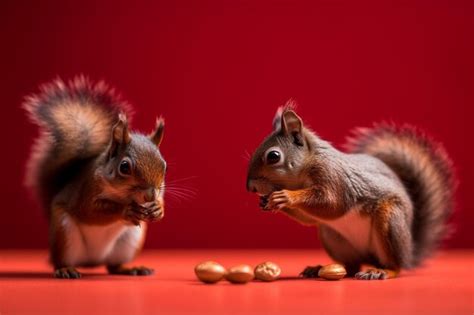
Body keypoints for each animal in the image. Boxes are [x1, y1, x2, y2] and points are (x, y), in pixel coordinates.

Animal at [23, 77, 167, 278]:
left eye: (164, 165)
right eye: (124, 167)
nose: (150, 196)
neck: (124, 195)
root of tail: (91, 262)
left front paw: (158, 209)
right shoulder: (86, 190)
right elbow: (91, 212)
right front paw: (126, 210)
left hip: (129, 242)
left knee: (113, 266)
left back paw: (131, 268)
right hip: (63, 232)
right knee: (61, 261)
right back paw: (65, 269)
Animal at [246, 103, 454, 282]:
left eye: (273, 156)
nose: (250, 187)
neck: (304, 172)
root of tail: (409, 253)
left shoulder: (334, 177)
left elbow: (332, 204)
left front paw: (286, 196)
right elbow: (310, 219)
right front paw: (267, 201)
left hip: (390, 220)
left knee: (395, 265)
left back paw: (381, 271)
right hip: (333, 237)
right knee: (351, 267)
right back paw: (319, 268)